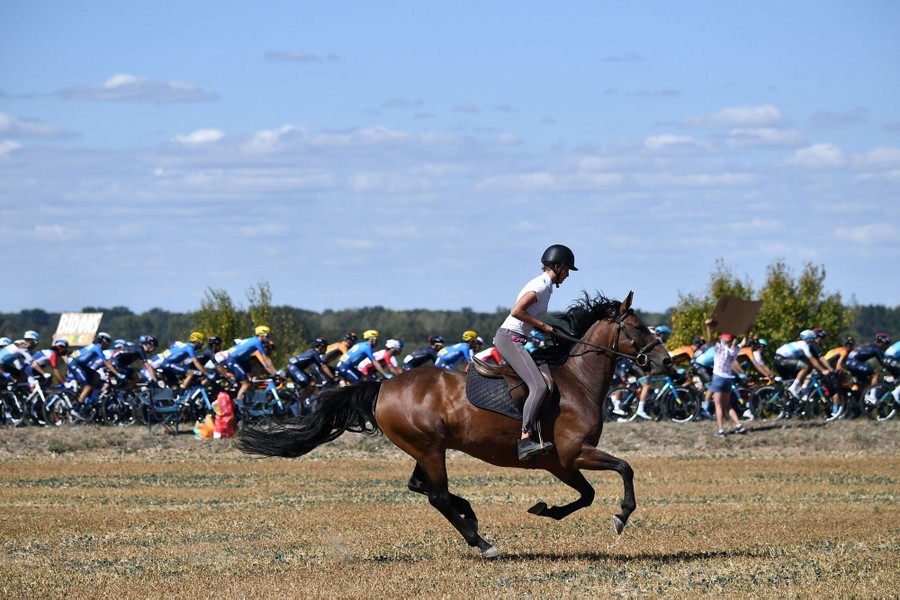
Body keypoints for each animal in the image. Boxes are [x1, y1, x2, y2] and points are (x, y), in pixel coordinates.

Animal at [236, 290, 672, 556]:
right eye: (638, 327)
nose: (666, 361)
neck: (576, 382)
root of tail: (383, 386)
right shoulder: (574, 454)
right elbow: (624, 469)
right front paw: (620, 516)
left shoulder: (561, 462)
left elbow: (587, 495)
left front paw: (545, 509)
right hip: (429, 447)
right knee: (437, 496)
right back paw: (481, 541)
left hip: (425, 448)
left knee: (423, 488)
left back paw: (472, 516)